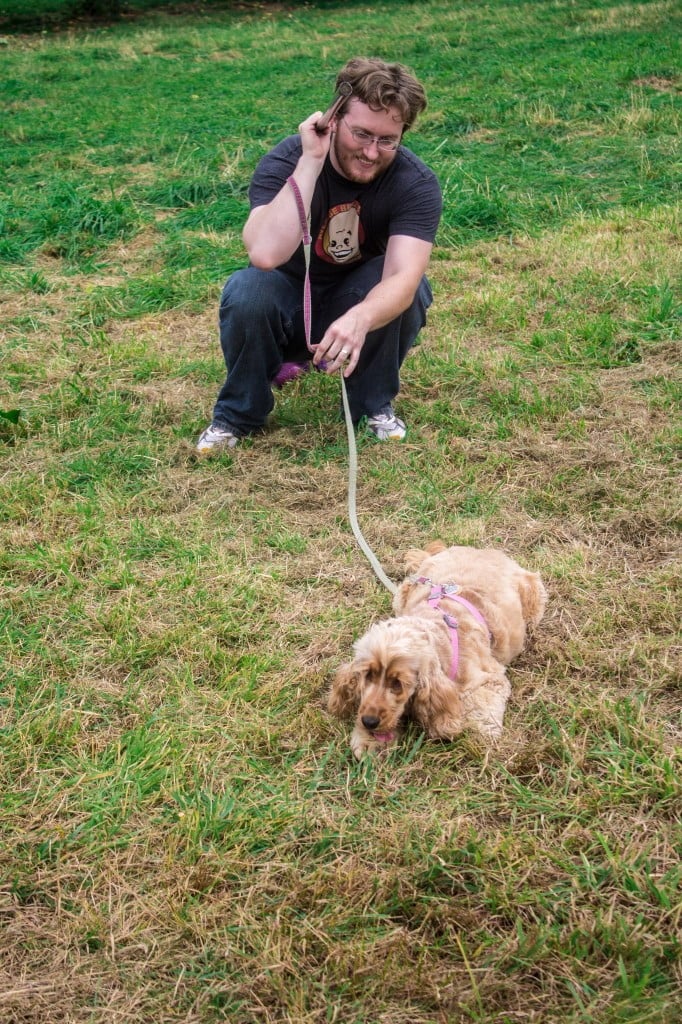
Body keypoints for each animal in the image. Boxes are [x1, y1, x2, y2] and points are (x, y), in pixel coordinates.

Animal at [327, 540, 544, 757]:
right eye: (367, 675)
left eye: (398, 684)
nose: (369, 722)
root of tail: (480, 550)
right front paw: (370, 742)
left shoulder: (489, 679)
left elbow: (482, 711)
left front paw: (478, 738)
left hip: (535, 593)